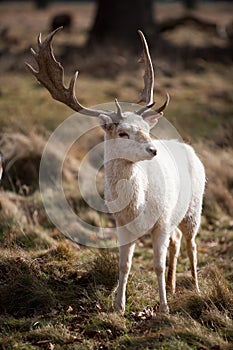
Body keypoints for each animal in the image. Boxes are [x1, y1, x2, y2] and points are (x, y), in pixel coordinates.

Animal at [27, 29, 205, 314]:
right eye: (122, 132)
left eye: (147, 128)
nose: (153, 149)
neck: (137, 207)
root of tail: (188, 148)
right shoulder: (121, 225)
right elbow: (124, 265)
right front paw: (119, 306)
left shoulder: (161, 221)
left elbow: (157, 265)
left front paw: (164, 308)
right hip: (177, 216)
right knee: (177, 241)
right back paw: (173, 286)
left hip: (194, 208)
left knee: (191, 243)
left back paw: (196, 288)